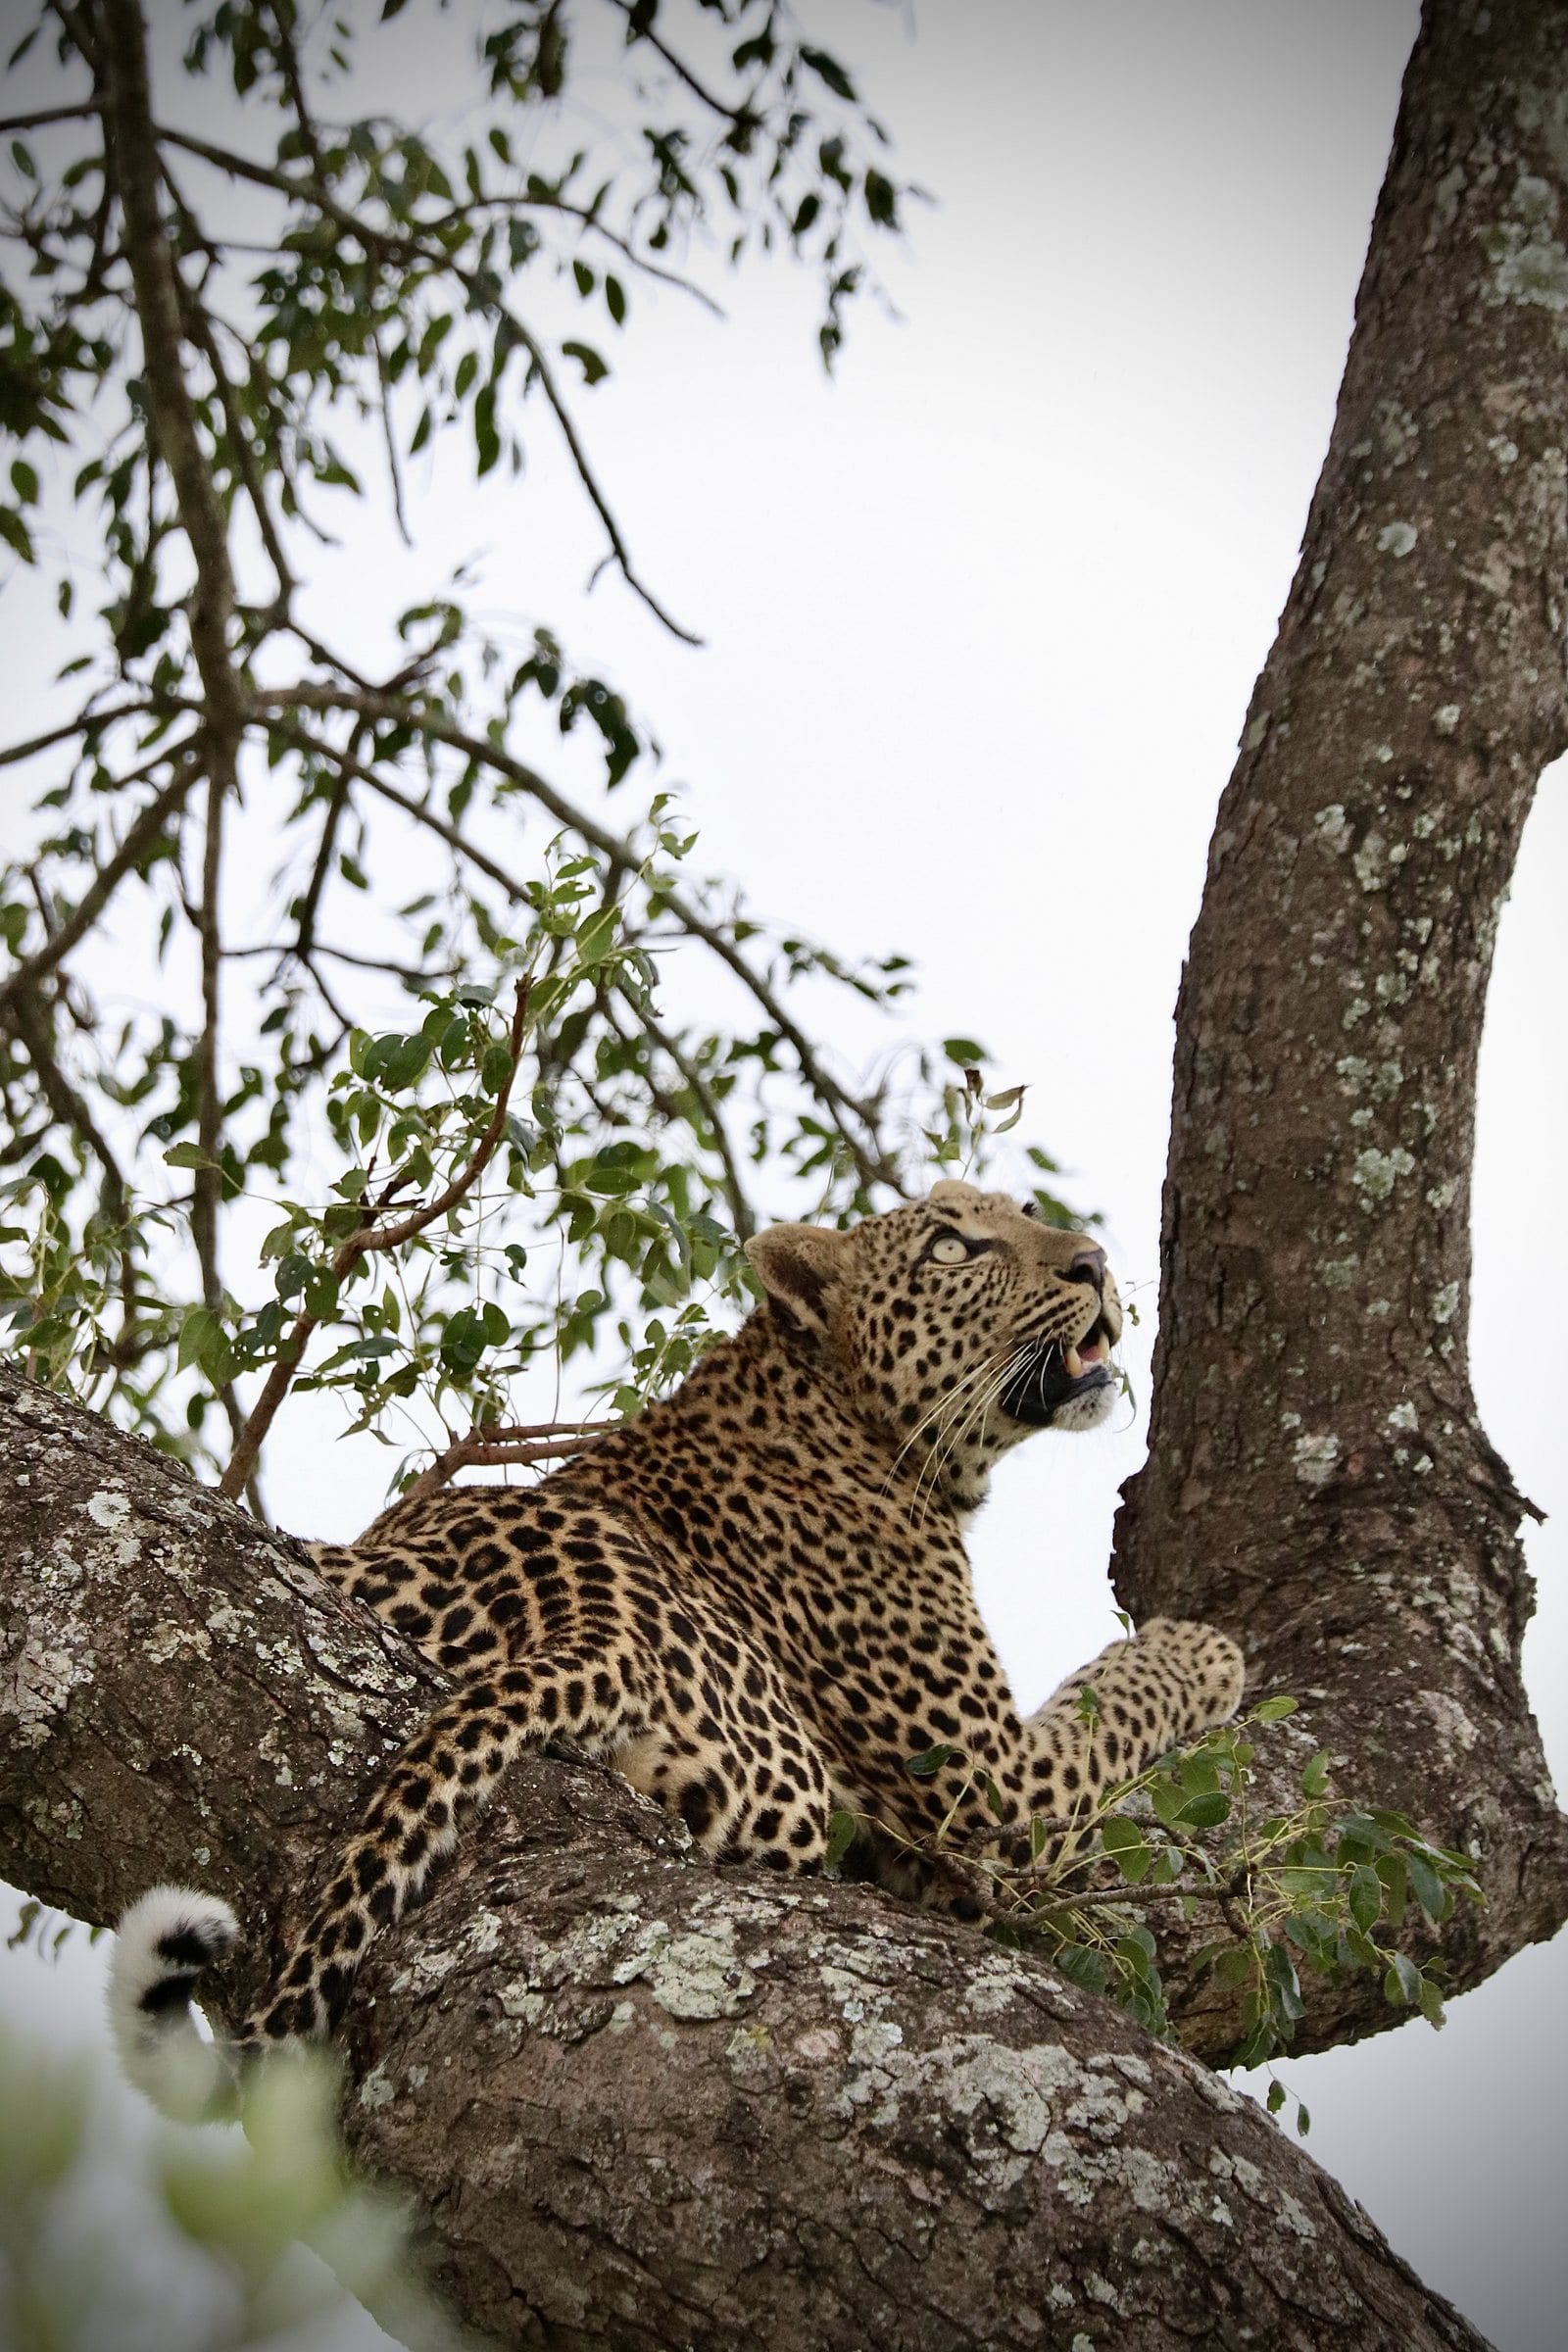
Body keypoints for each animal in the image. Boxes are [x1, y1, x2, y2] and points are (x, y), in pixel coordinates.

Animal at [109, 1179, 1245, 2119]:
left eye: (1024, 1212)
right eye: (955, 1247)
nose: (1092, 1261)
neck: (853, 1421)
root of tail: (583, 1620)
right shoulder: (992, 1790)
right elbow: (1114, 1699)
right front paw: (1207, 1649)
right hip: (785, 1777)